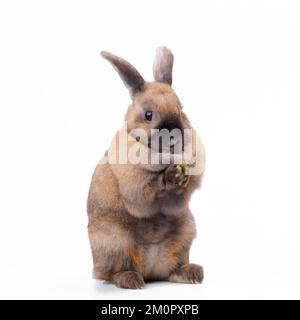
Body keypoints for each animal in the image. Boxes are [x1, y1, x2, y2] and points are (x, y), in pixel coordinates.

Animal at [87, 47, 206, 290]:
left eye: (181, 110)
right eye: (148, 115)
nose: (174, 134)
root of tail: (150, 271)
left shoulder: (179, 203)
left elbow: (177, 197)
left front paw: (180, 175)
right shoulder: (136, 189)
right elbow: (147, 193)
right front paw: (171, 175)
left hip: (185, 234)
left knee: (171, 270)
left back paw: (192, 273)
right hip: (115, 242)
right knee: (112, 273)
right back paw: (131, 280)